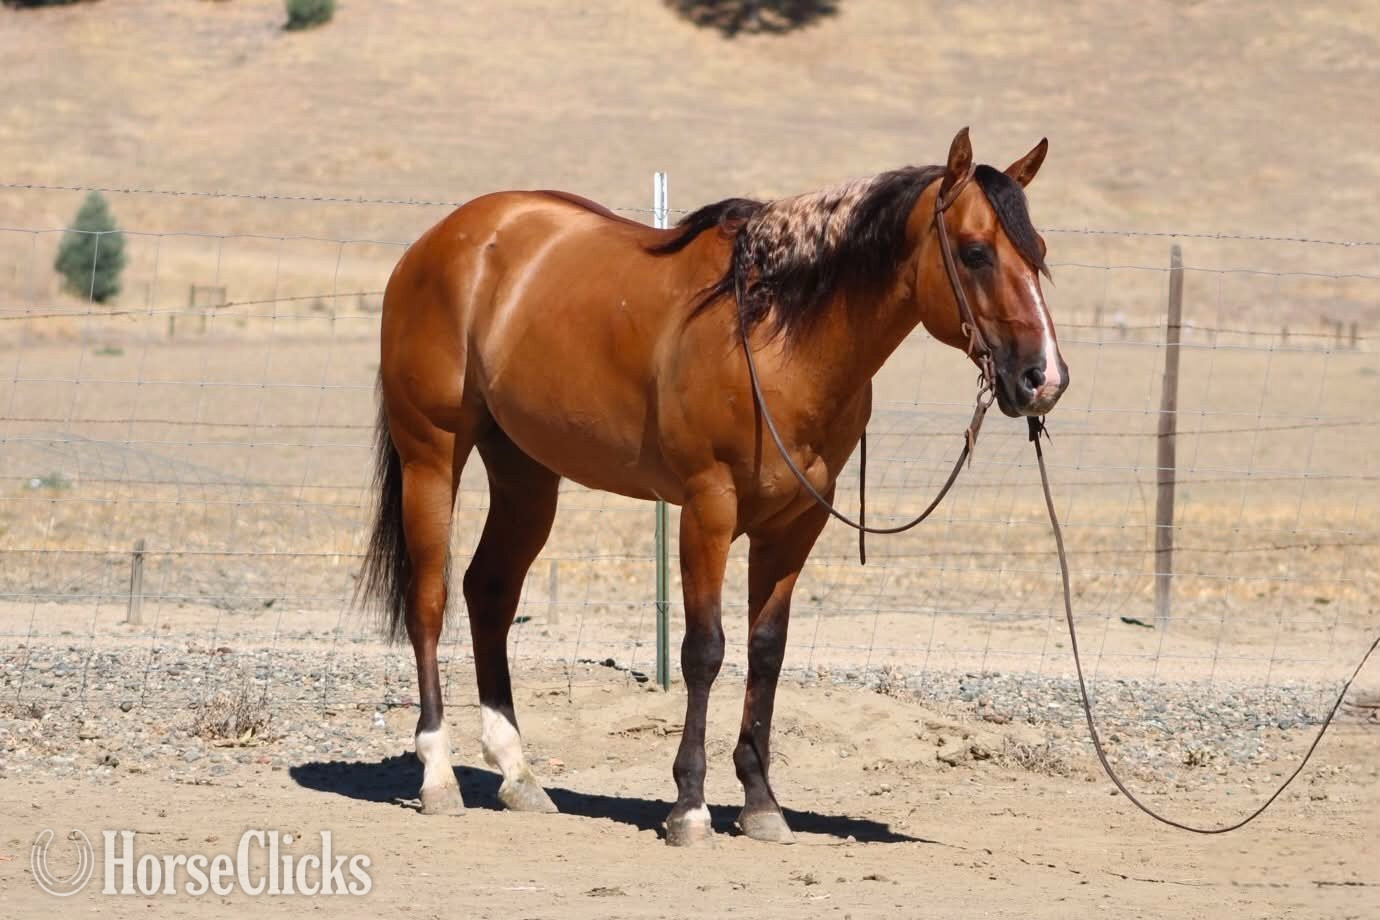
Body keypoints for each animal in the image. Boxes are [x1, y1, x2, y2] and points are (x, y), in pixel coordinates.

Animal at [358, 127, 1069, 846]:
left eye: (1037, 252)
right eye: (976, 252)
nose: (1044, 379)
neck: (773, 333)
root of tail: (440, 241)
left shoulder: (796, 523)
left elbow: (766, 650)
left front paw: (760, 804)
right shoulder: (708, 509)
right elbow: (704, 650)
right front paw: (690, 807)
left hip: (526, 474)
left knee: (491, 592)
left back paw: (518, 774)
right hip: (432, 457)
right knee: (429, 600)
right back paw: (439, 775)